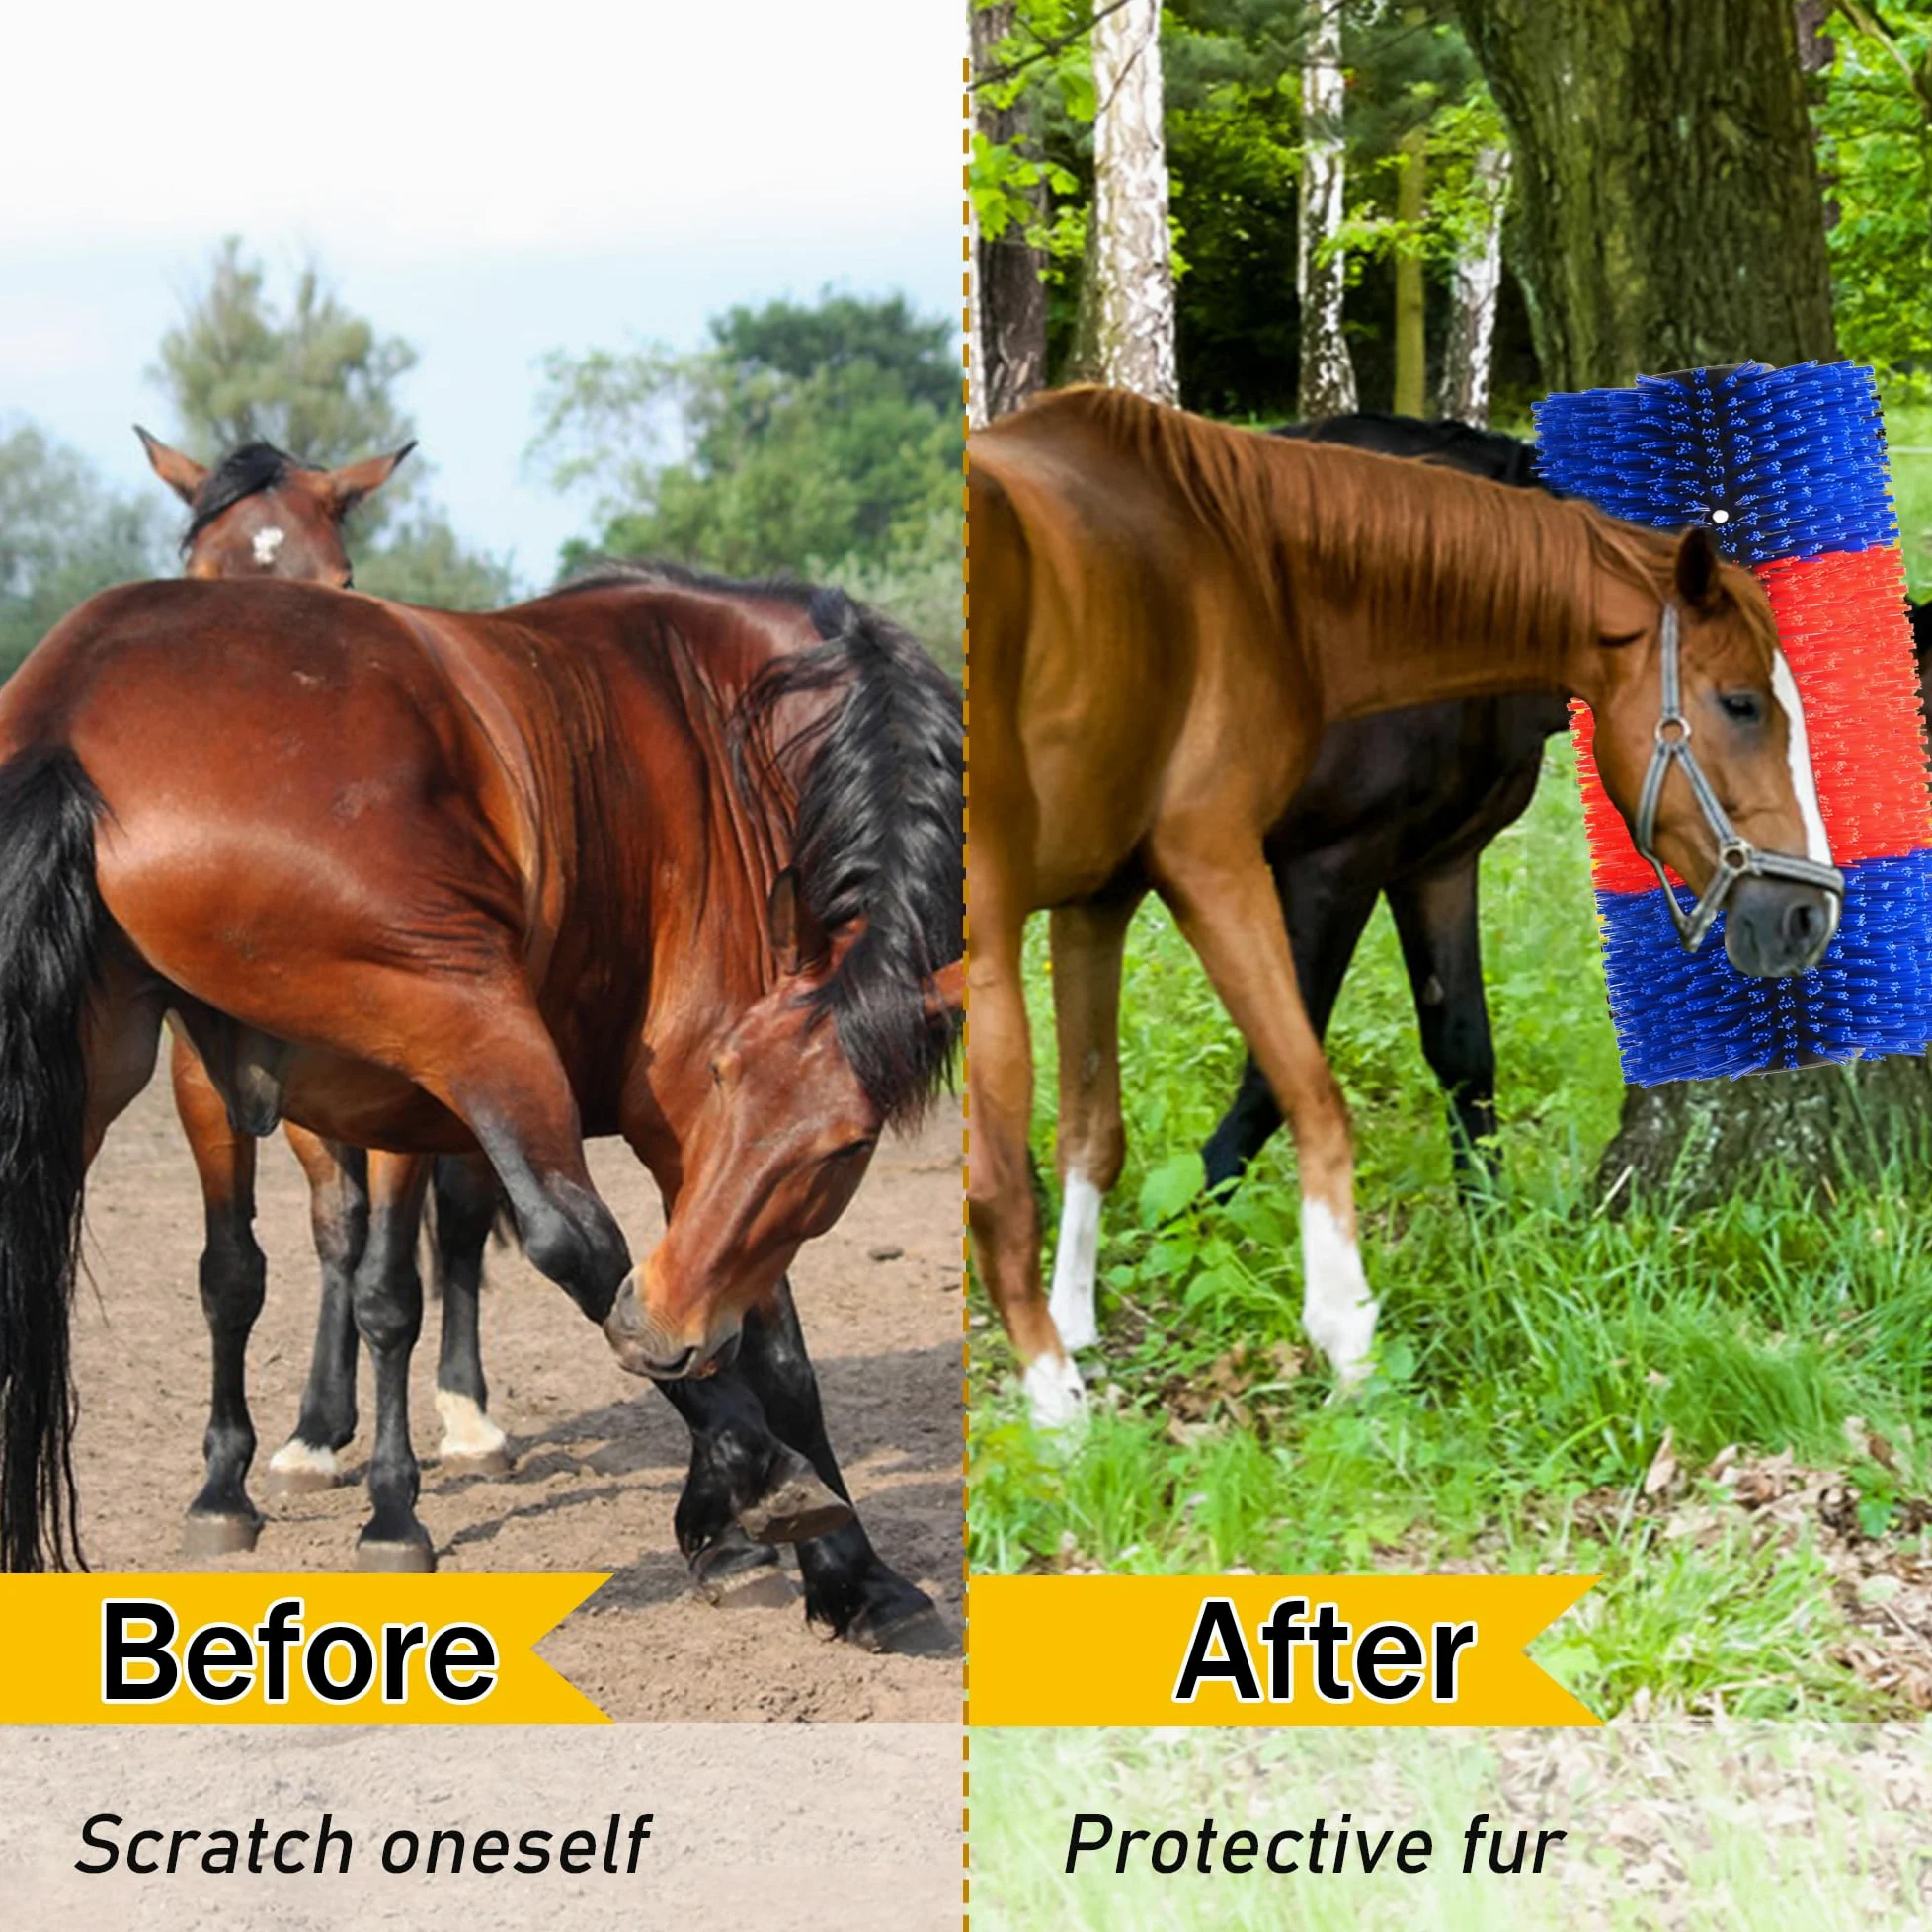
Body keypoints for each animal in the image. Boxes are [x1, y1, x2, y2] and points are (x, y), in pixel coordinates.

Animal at [0, 563, 963, 1662]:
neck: (748, 733)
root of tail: (73, 700)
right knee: (569, 1235)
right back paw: (759, 1471)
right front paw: (846, 1571)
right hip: (459, 1006)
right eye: (724, 1074)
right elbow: (759, 1343)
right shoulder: (685, 1125)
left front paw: (721, 1533)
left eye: (848, 1146)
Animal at [969, 386, 1842, 1427]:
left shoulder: (1430, 864)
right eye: (1742, 704)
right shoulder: (1298, 868)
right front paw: (1248, 1262)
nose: (1806, 915)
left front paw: (1491, 1241)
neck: (1274, 588)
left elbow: (1460, 1052)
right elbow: (1283, 1082)